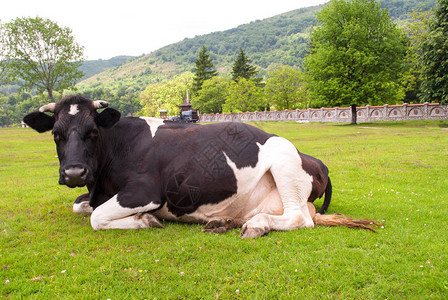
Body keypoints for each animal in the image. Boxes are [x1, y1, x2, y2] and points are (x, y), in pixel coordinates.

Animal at [24, 95, 378, 238]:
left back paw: (256, 225)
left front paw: (144, 220)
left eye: (93, 132)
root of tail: (316, 160)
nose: (74, 172)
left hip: (285, 163)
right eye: (56, 134)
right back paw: (224, 221)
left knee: (299, 218)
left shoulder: (144, 192)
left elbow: (96, 217)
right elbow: (80, 206)